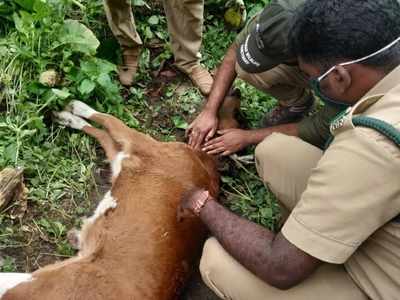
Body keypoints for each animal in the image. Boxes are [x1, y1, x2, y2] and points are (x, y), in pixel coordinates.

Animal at [0, 101, 219, 300]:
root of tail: (205, 169)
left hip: (139, 149)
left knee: (110, 125)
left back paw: (72, 111)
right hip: (134, 152)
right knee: (108, 129)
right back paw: (70, 113)